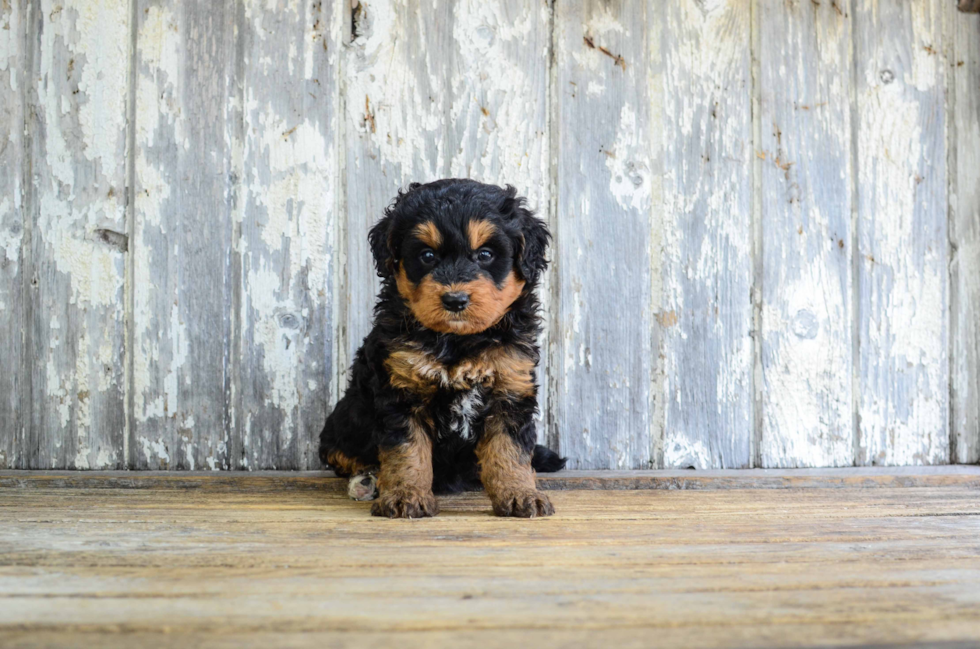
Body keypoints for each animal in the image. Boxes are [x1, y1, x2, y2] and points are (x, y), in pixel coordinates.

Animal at [322, 177, 568, 516]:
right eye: (427, 256)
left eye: (485, 255)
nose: (455, 300)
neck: (457, 340)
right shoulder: (401, 391)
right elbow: (406, 450)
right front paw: (405, 495)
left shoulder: (510, 386)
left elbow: (510, 450)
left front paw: (520, 493)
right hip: (343, 422)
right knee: (344, 454)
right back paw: (367, 481)